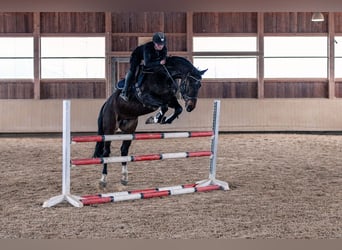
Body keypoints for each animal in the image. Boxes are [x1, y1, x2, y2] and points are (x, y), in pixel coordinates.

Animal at [92, 55, 207, 187]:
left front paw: (164, 120)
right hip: (109, 129)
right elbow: (164, 107)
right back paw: (103, 179)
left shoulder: (169, 99)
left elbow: (177, 109)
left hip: (129, 128)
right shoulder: (146, 98)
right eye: (189, 83)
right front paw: (155, 118)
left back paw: (124, 177)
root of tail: (106, 104)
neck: (164, 76)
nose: (191, 107)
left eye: (199, 85)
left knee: (124, 150)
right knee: (106, 152)